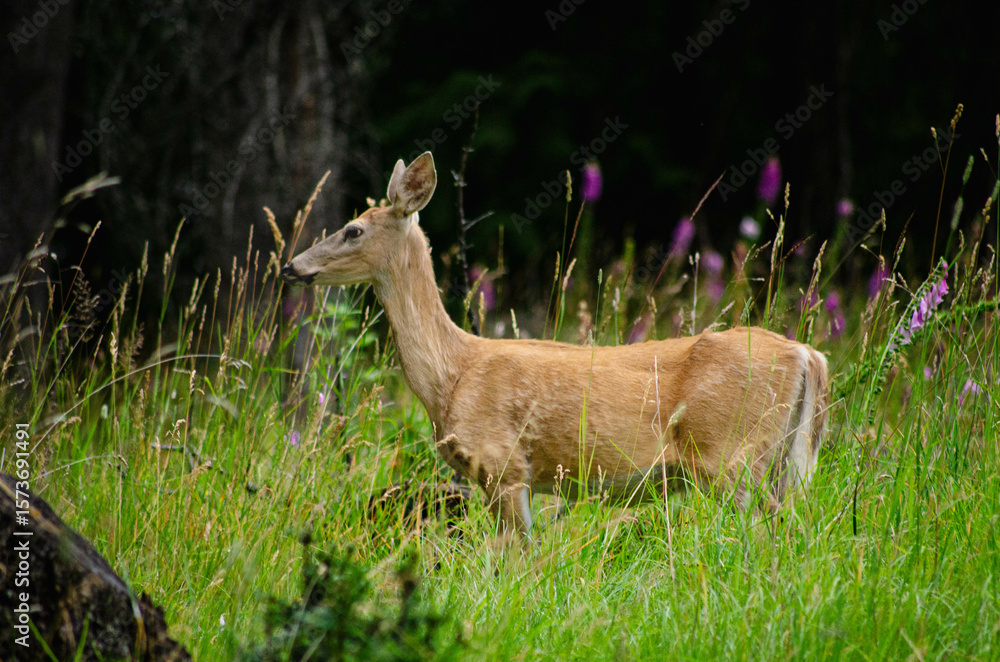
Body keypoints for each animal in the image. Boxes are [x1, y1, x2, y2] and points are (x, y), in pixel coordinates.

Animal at [282, 152, 829, 540]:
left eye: (353, 230)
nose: (291, 266)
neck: (453, 372)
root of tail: (806, 354)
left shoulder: (503, 465)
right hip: (784, 457)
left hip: (731, 455)